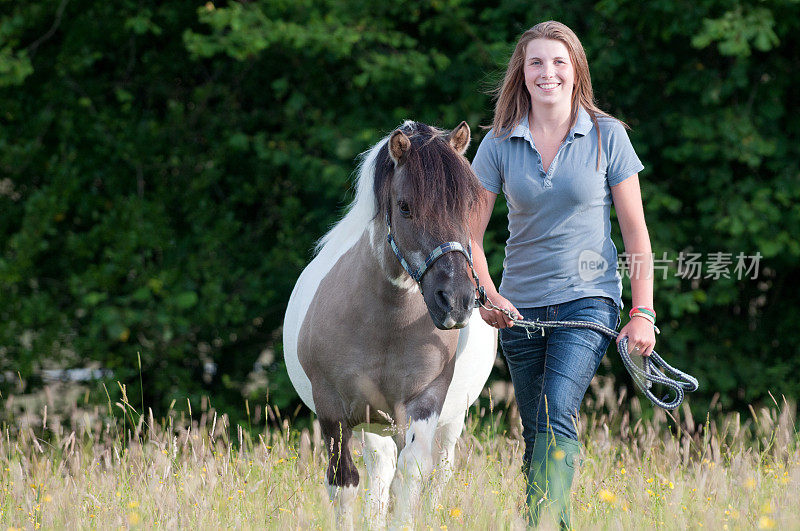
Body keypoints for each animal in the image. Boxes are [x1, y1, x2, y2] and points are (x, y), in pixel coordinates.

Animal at [282, 121, 494, 528]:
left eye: (467, 206)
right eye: (404, 206)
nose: (457, 300)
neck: (387, 326)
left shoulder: (424, 404)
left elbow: (411, 478)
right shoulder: (332, 410)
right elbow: (345, 484)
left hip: (448, 421)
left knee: (437, 474)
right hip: (374, 425)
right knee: (379, 472)